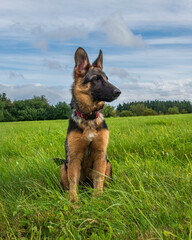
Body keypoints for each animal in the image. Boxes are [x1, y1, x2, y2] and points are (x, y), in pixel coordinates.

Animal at [60, 47, 121, 202]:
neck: (89, 117)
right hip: (64, 165)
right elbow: (73, 182)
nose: (118, 92)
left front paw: (97, 198)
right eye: (96, 79)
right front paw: (73, 201)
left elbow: (98, 180)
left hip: (107, 163)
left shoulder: (100, 155)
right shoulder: (74, 158)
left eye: (107, 79)